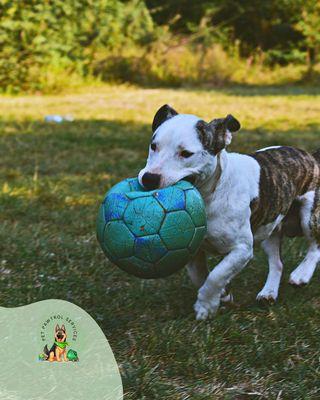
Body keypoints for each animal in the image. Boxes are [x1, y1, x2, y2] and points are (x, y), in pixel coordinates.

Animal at [138, 104, 320, 320]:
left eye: (186, 153)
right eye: (153, 146)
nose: (149, 178)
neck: (209, 195)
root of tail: (311, 156)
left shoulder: (241, 249)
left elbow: (216, 275)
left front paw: (206, 306)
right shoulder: (190, 249)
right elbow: (199, 275)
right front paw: (222, 295)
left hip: (309, 215)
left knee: (315, 245)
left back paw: (302, 274)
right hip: (270, 227)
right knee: (277, 262)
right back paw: (268, 293)